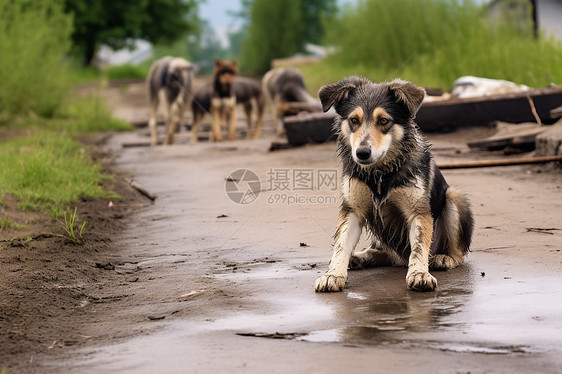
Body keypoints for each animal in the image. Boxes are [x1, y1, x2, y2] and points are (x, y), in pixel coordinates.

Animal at [316, 76, 472, 292]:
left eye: (383, 121)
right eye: (354, 120)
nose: (362, 153)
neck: (380, 174)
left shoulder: (418, 211)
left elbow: (418, 247)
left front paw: (419, 274)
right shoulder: (352, 210)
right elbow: (341, 244)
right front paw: (333, 274)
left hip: (454, 197)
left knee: (457, 253)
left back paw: (443, 258)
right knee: (385, 253)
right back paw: (361, 257)